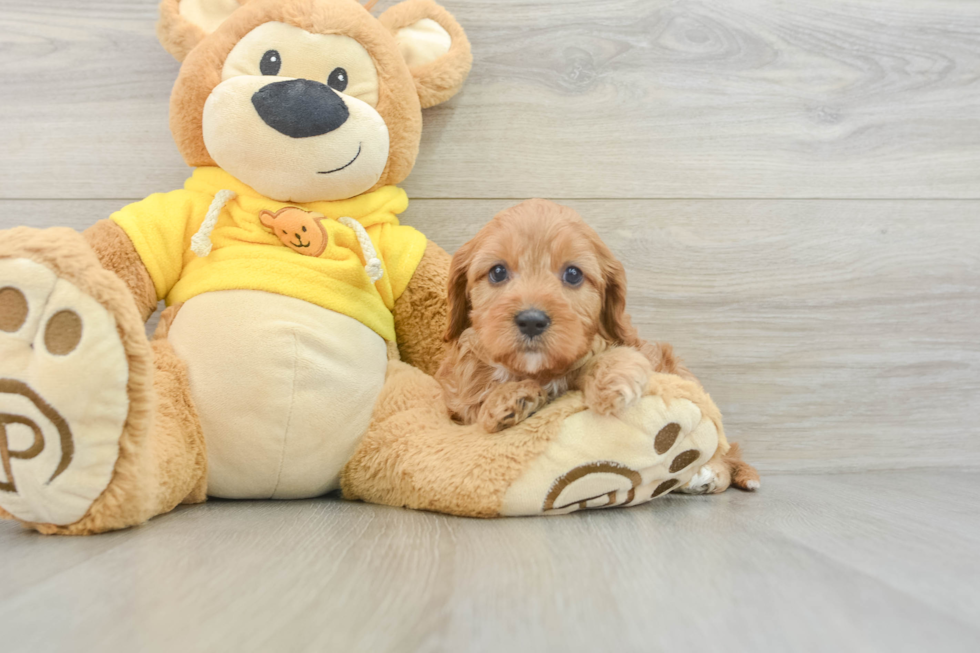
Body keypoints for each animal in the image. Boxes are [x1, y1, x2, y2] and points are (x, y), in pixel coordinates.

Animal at [440, 201, 760, 492]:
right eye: (497, 272)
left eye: (573, 274)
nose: (531, 321)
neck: (540, 371)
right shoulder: (462, 400)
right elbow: (480, 404)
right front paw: (507, 400)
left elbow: (610, 355)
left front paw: (611, 382)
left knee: (722, 446)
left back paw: (709, 474)